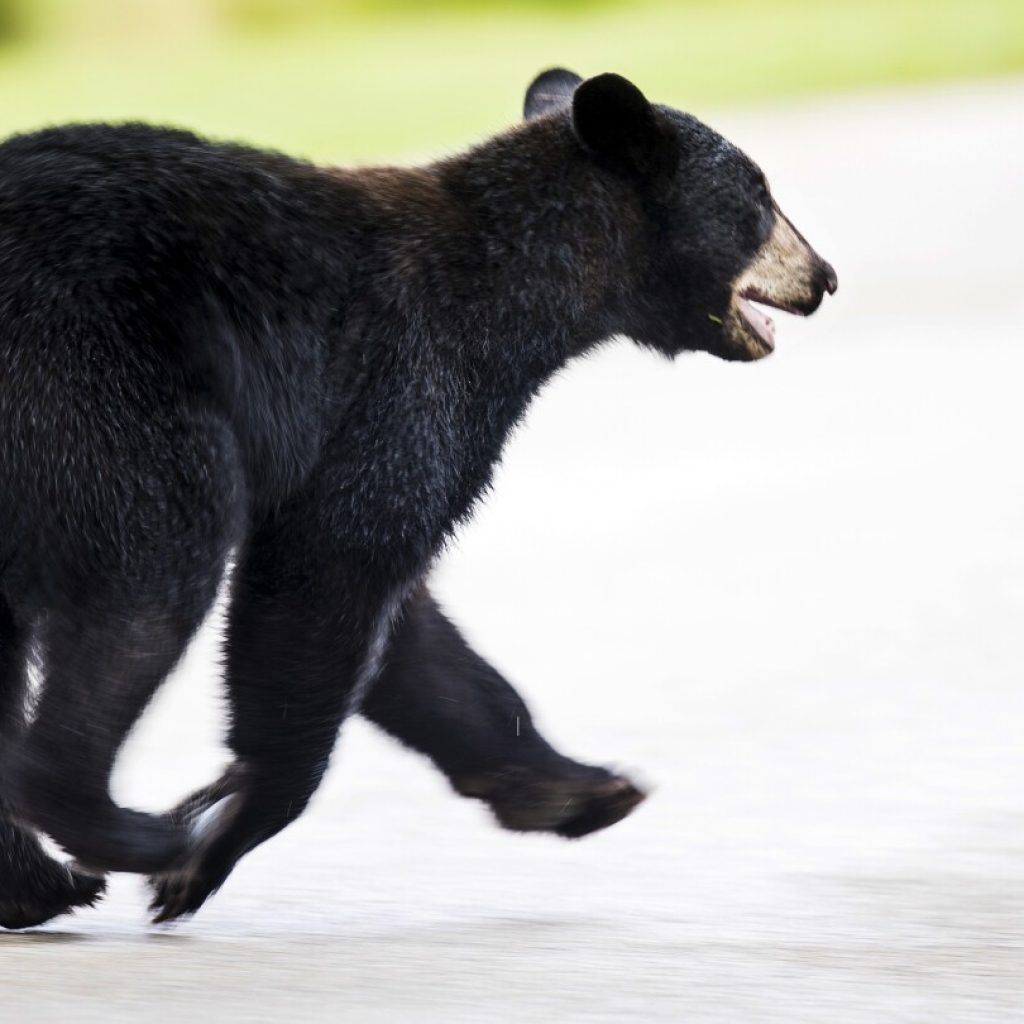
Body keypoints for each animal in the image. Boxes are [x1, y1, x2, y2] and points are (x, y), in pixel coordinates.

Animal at [0, 68, 831, 925]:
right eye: (760, 198)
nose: (825, 277)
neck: (520, 283)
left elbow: (411, 635)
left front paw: (578, 788)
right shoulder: (408, 374)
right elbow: (332, 566)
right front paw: (214, 843)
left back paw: (38, 882)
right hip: (99, 389)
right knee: (150, 578)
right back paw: (123, 834)